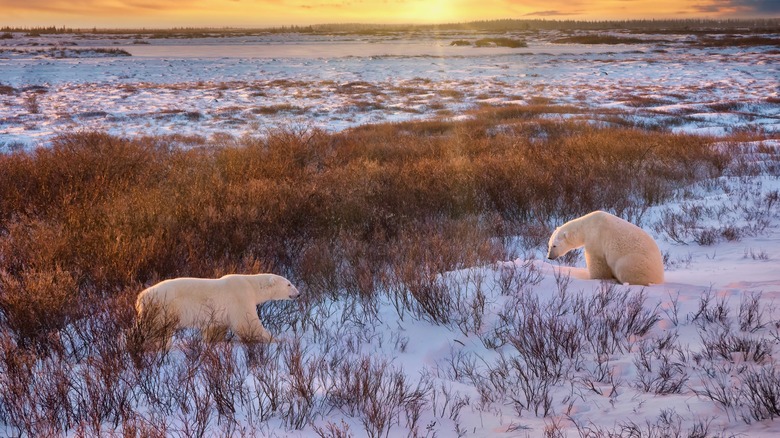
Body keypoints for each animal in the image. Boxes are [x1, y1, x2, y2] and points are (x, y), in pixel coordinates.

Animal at [136, 272, 300, 348]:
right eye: (289, 284)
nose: (298, 294)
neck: (250, 284)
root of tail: (141, 297)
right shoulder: (240, 297)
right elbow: (248, 323)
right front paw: (275, 339)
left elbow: (215, 327)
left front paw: (213, 341)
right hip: (163, 307)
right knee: (159, 330)